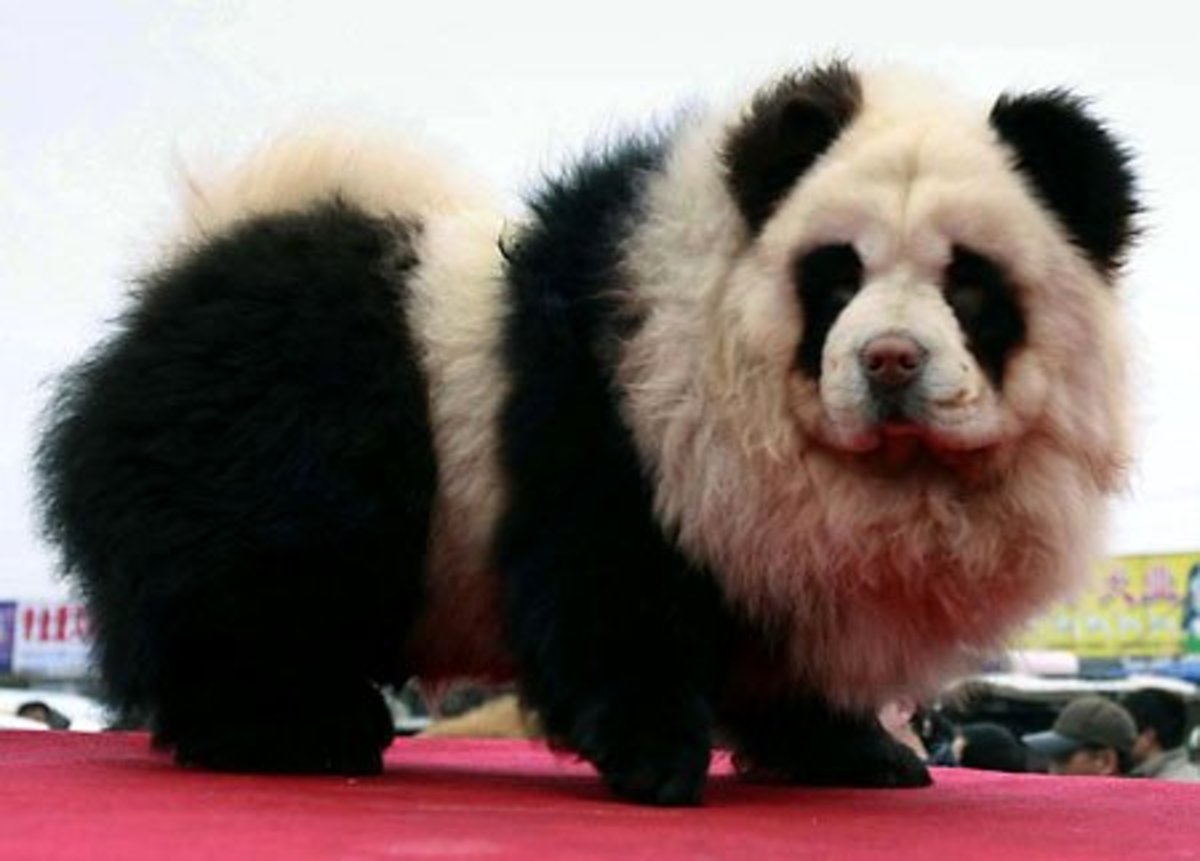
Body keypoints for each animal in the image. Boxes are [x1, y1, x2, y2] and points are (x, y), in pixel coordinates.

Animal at [36, 61, 1138, 806]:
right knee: (251, 596)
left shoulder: (787, 549)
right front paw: (656, 758)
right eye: (837, 276)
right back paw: (299, 728)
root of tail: (187, 267)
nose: (892, 362)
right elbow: (609, 586)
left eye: (968, 283)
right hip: (269, 449)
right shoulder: (620, 424)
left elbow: (795, 645)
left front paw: (856, 754)